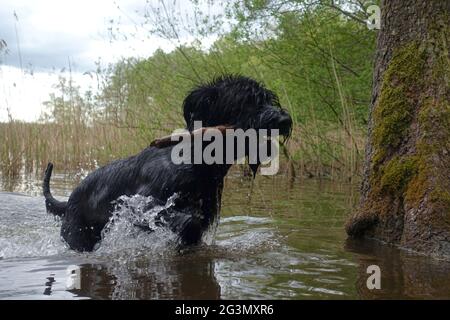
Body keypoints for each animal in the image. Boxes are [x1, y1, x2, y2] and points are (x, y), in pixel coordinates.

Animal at [43, 74, 292, 251]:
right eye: (246, 100)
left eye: (269, 99)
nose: (283, 119)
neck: (200, 158)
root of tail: (68, 202)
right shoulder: (140, 204)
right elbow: (185, 221)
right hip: (78, 236)